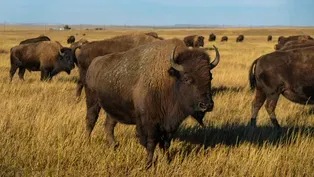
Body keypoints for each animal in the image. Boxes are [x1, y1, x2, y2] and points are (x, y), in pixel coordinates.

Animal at [84, 38, 220, 169]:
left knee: (108, 126)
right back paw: (88, 142)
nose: (206, 105)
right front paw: (148, 164)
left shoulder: (169, 125)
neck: (170, 79)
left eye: (210, 77)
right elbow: (150, 143)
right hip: (92, 102)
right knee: (91, 121)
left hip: (112, 109)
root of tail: (94, 63)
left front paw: (167, 161)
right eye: (187, 79)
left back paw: (114, 146)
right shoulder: (148, 123)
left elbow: (165, 144)